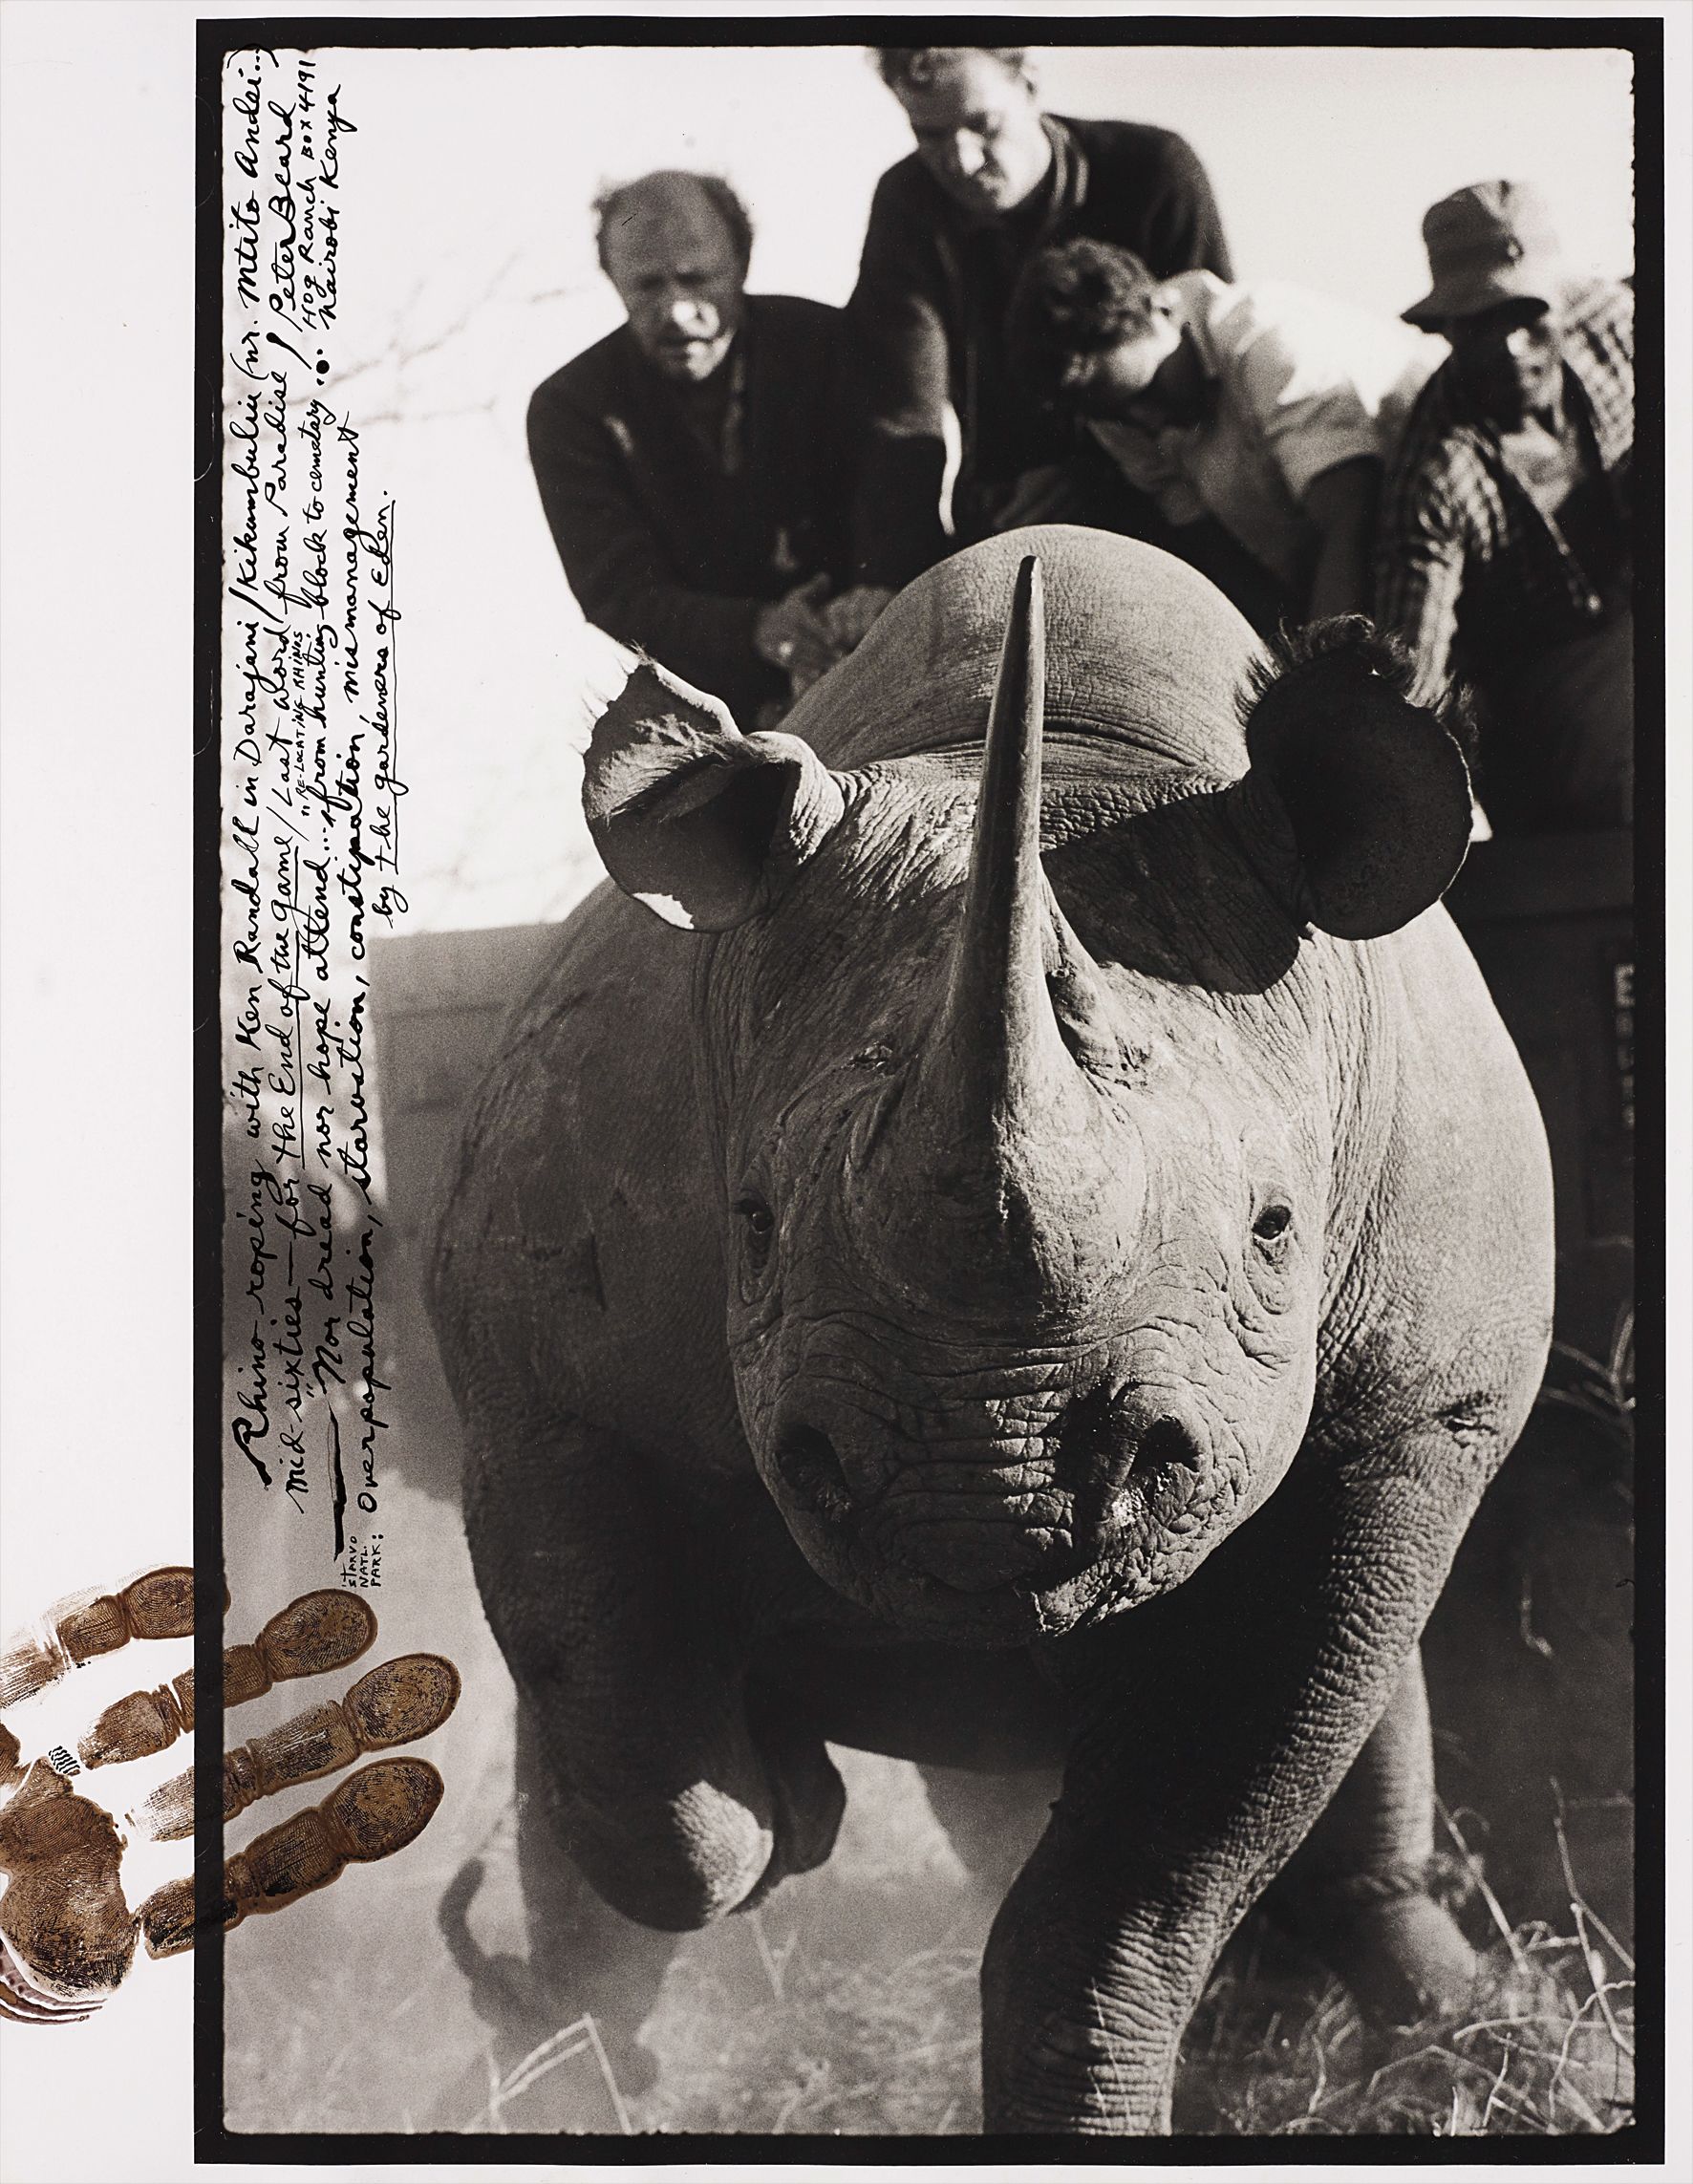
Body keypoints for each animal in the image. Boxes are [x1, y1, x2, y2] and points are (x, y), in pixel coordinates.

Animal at [431, 526, 1554, 2134]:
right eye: (750, 1222)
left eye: (1276, 1231)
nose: (982, 1489)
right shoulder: (537, 1368)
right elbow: (623, 1731)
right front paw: (787, 1807)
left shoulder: (1417, 1416)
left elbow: (1149, 1880)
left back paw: (1466, 2030)